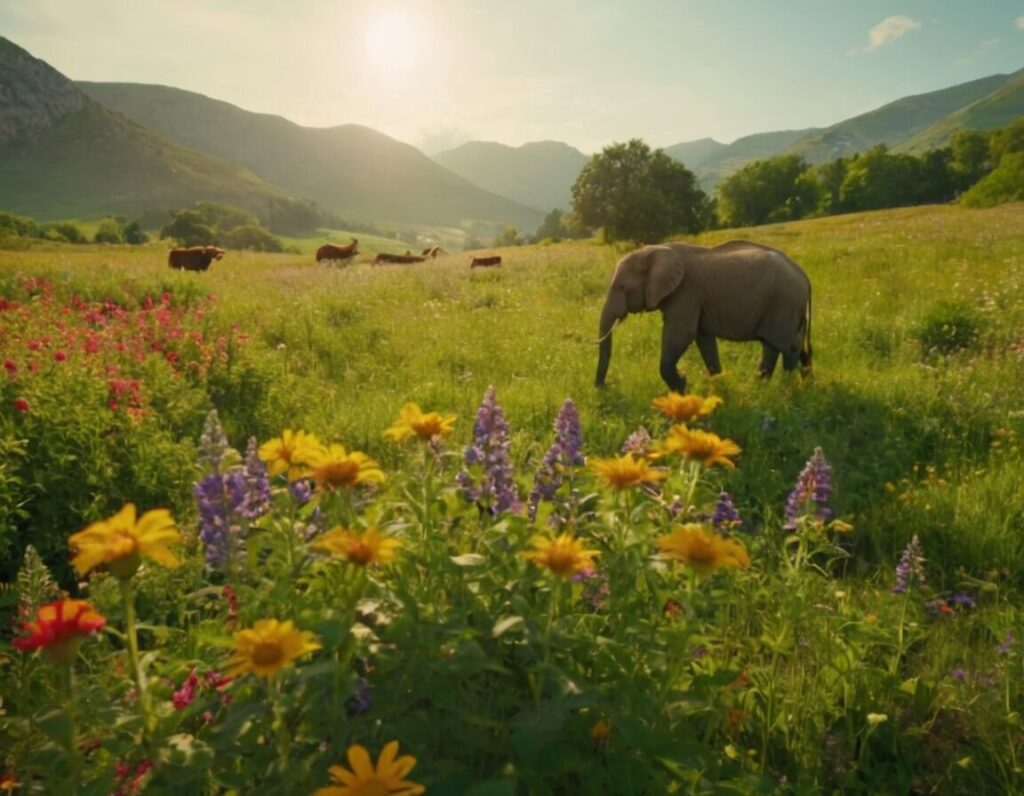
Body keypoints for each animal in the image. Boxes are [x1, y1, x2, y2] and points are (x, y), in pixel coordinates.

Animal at [598, 240, 811, 393]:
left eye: (621, 287)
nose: (604, 388)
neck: (656, 250)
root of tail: (804, 275)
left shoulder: (685, 293)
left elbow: (681, 335)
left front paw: (682, 387)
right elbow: (703, 338)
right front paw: (716, 387)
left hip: (783, 302)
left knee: (776, 345)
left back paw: (769, 389)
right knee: (794, 346)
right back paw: (796, 384)